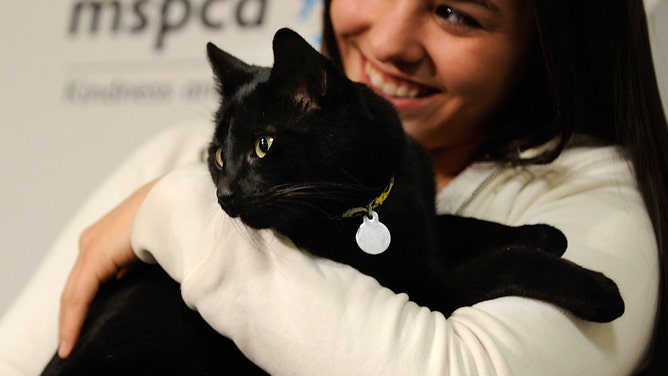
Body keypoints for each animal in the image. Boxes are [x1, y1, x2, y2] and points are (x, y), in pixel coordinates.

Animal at [43, 27, 628, 374]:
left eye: (263, 145)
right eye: (217, 155)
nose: (225, 194)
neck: (369, 202)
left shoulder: (419, 217)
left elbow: (464, 225)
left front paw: (546, 232)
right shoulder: (422, 290)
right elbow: (503, 264)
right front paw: (597, 290)